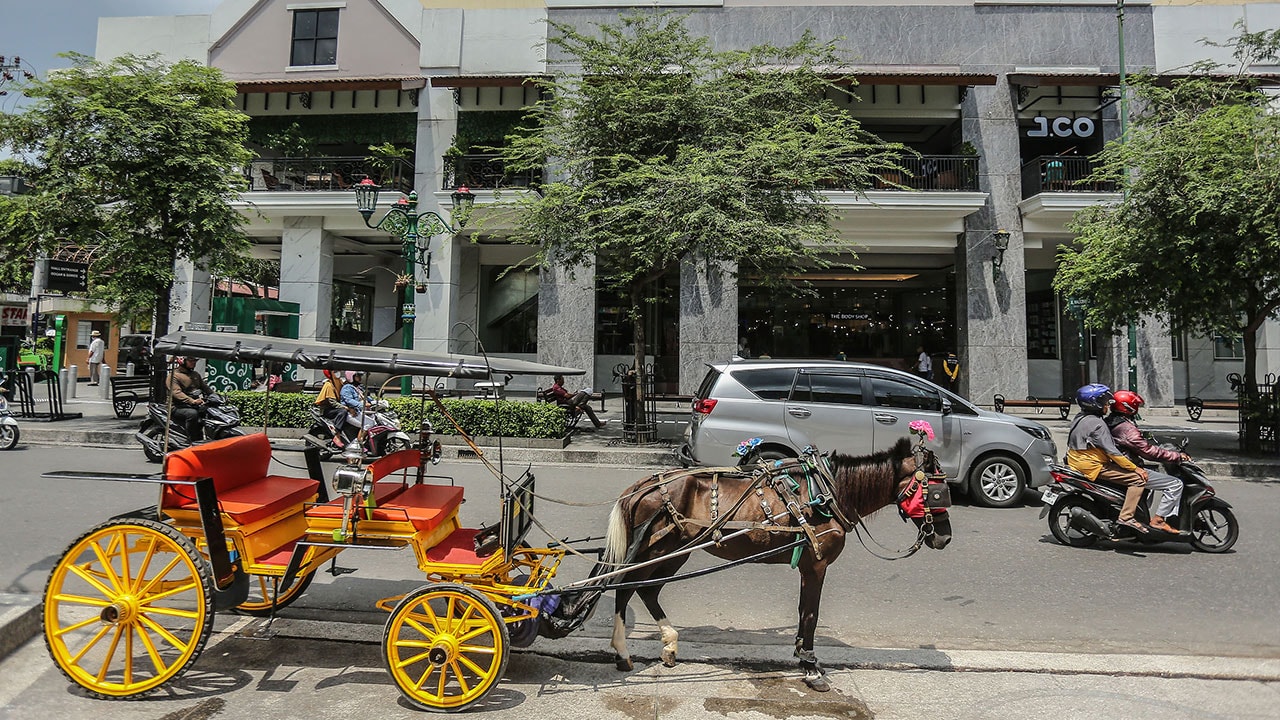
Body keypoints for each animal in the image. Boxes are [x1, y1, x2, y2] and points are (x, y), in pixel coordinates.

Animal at [599, 435, 952, 686]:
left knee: (647, 590)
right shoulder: (817, 565)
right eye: (936, 492)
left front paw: (801, 655)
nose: (945, 537)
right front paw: (810, 667)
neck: (828, 494)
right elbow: (811, 613)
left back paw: (669, 644)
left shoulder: (809, 566)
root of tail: (640, 486)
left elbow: (803, 610)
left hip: (677, 550)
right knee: (625, 587)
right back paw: (622, 652)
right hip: (657, 550)